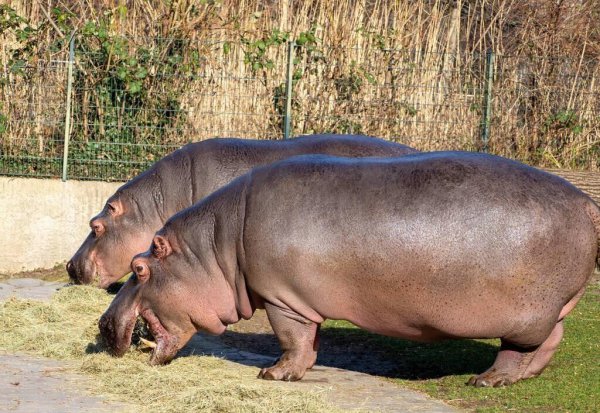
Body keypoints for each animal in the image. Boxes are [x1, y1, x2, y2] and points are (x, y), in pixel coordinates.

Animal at [98, 152, 600, 386]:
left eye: (139, 268)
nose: (102, 324)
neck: (215, 248)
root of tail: (587, 202)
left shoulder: (282, 299)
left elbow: (291, 339)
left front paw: (273, 375)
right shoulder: (301, 300)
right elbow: (309, 342)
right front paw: (296, 371)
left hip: (523, 315)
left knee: (521, 347)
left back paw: (488, 379)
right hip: (550, 309)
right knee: (550, 341)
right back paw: (518, 378)